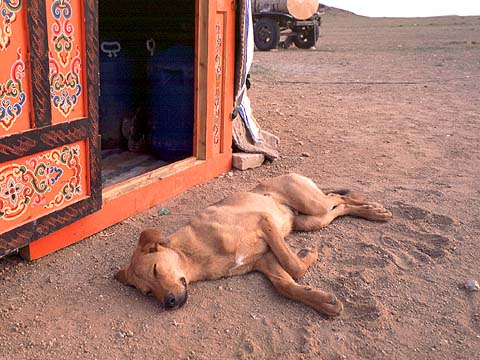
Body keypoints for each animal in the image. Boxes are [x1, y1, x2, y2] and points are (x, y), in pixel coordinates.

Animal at [114, 173, 392, 316]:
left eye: (155, 270)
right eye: (147, 292)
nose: (169, 303)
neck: (194, 255)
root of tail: (289, 173)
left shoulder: (264, 222)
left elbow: (293, 266)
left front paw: (306, 256)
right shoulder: (264, 260)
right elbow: (286, 285)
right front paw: (321, 301)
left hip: (313, 206)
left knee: (336, 197)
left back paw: (374, 209)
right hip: (310, 221)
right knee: (339, 206)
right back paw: (369, 210)